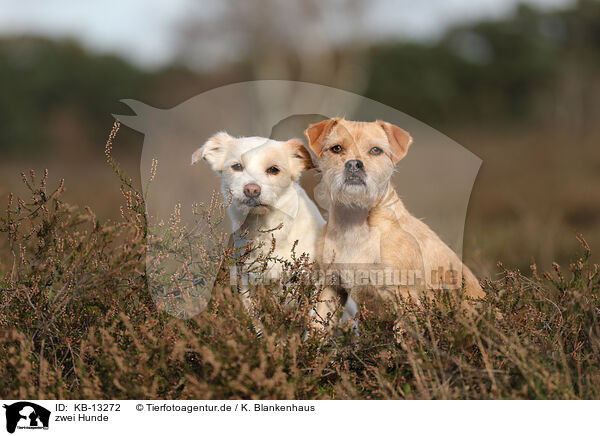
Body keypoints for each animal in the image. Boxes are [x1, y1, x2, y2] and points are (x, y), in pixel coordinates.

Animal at [304, 117, 482, 326]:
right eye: (336, 148)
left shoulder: (404, 297)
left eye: (375, 150)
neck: (355, 223)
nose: (354, 164)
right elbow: (318, 326)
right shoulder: (332, 287)